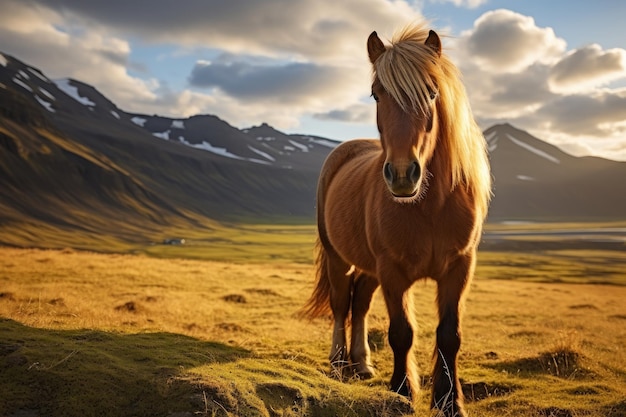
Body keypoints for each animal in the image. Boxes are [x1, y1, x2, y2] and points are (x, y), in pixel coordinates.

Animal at [300, 23, 490, 416]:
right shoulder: (392, 270)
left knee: (359, 302)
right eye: (376, 94)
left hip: (370, 268)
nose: (403, 174)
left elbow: (449, 335)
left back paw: (362, 363)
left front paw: (449, 400)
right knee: (341, 304)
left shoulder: (459, 268)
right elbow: (402, 333)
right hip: (338, 258)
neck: (431, 207)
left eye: (432, 92)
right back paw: (339, 362)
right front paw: (402, 391)